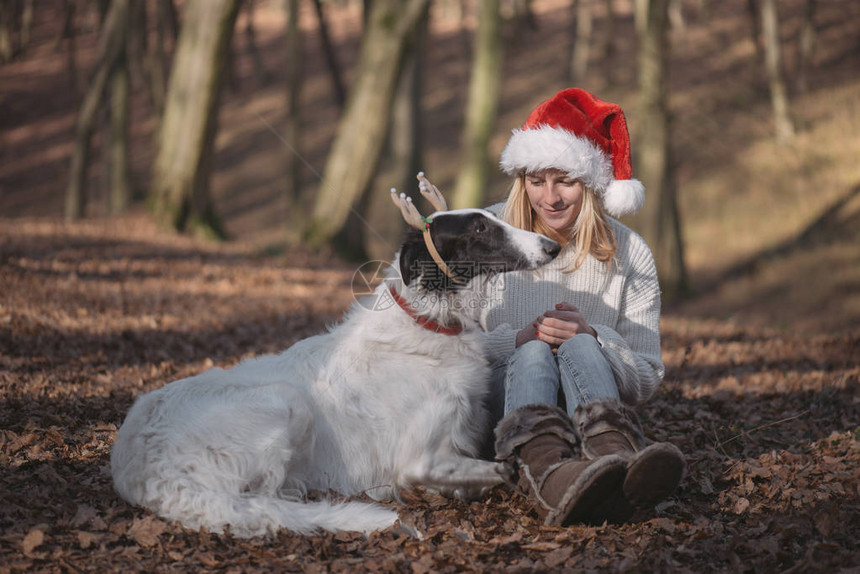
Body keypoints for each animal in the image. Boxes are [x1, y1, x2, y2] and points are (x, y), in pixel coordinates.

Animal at [111, 178, 560, 536]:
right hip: (287, 403)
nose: (553, 245)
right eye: (481, 228)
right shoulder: (416, 460)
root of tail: (143, 468)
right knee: (266, 498)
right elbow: (497, 469)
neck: (427, 322)